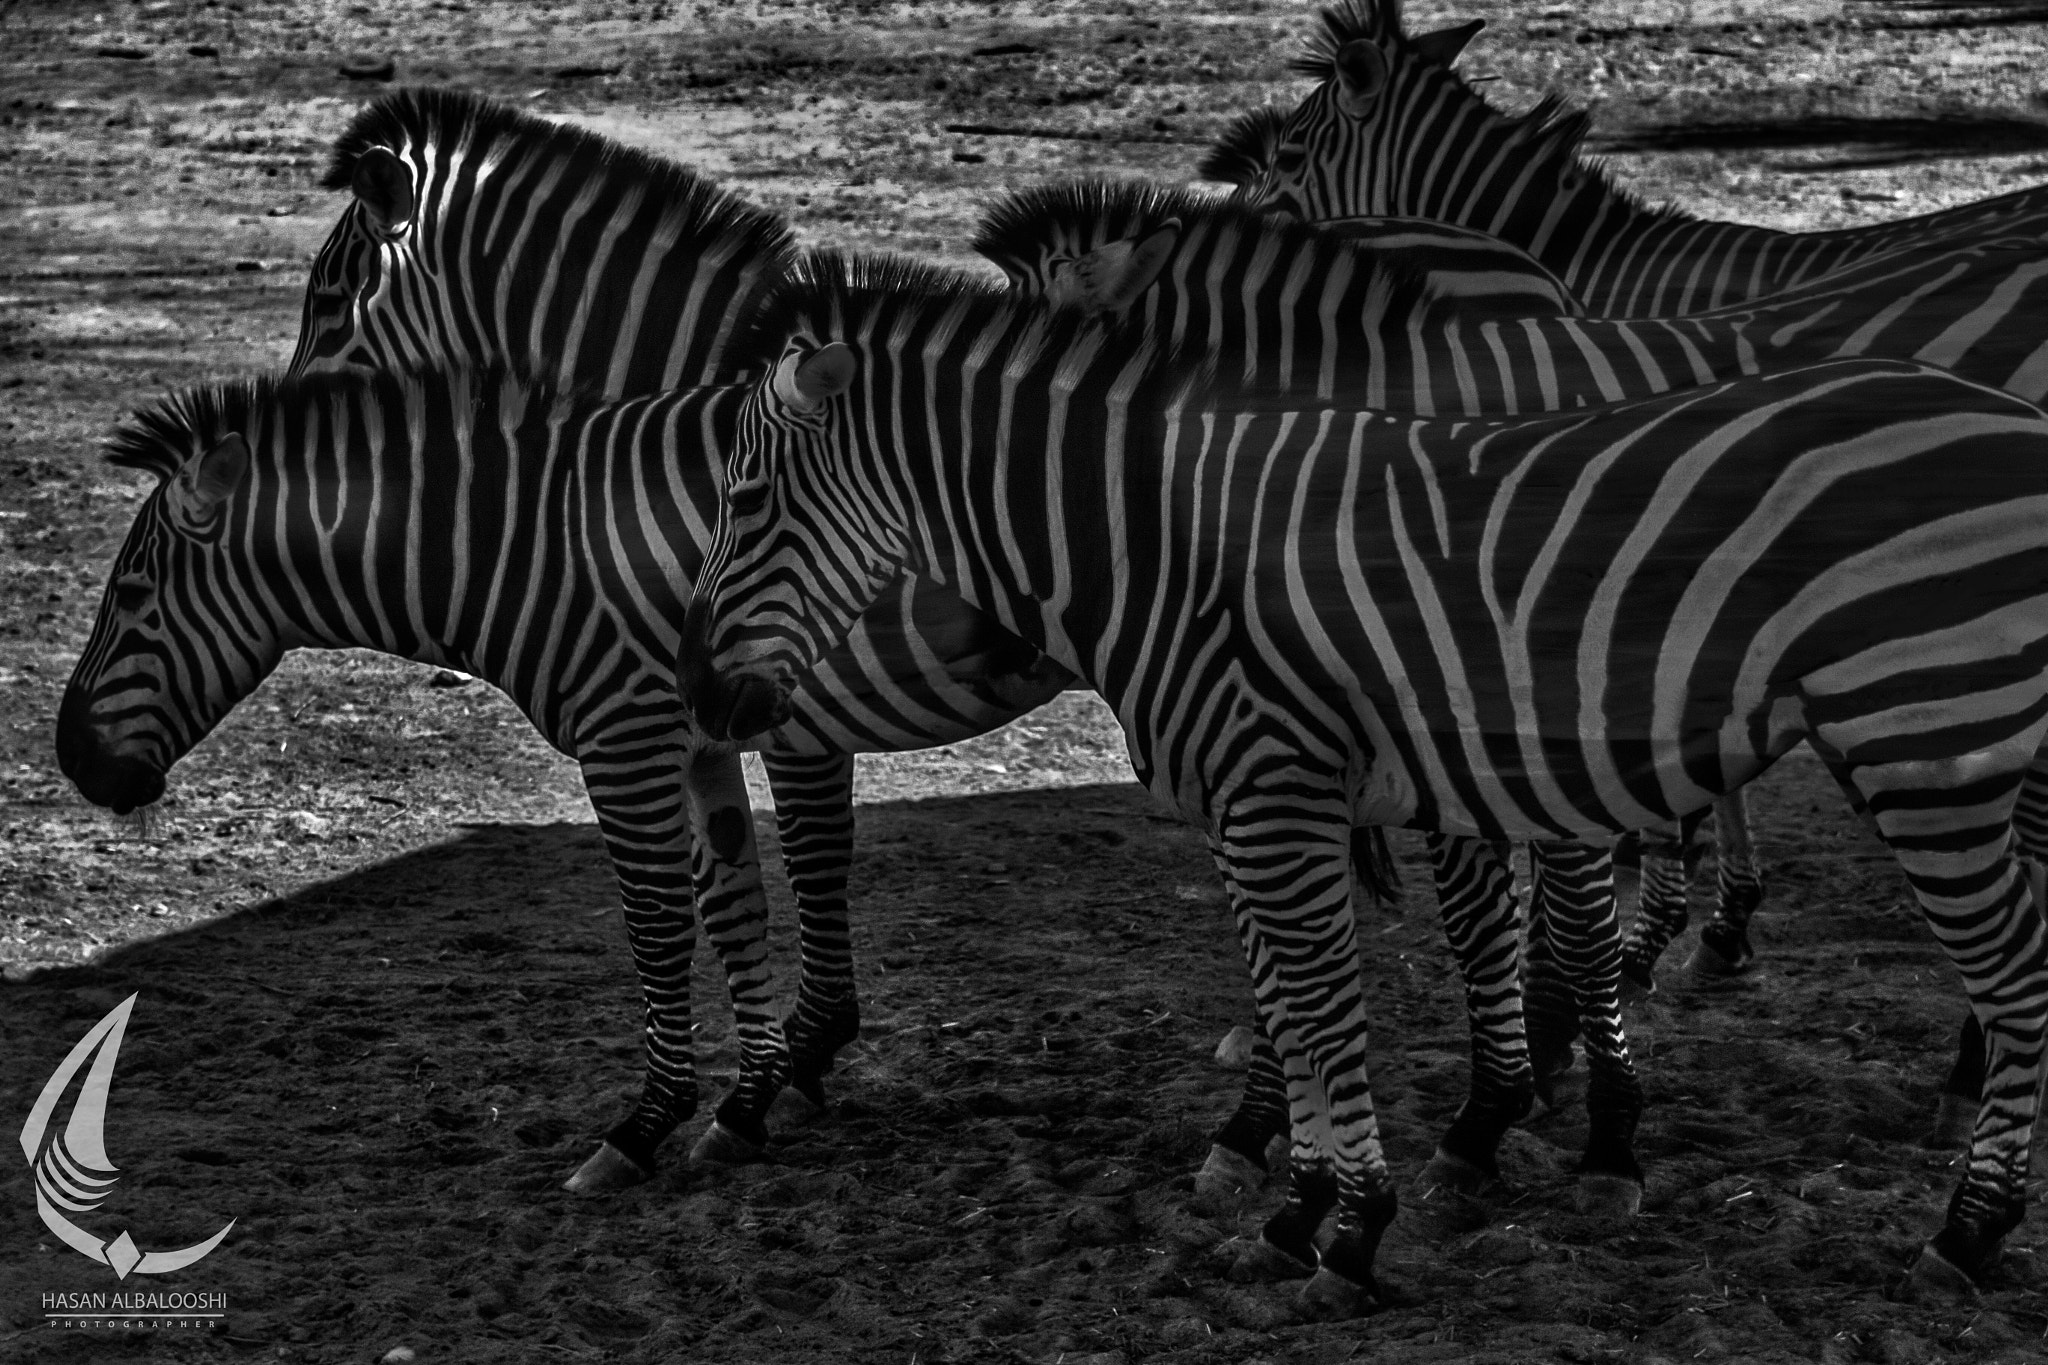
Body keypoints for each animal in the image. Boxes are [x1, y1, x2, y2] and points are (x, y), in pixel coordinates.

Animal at [279, 88, 1081, 1189]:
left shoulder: (785, 696)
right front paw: (775, 1071)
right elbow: (737, 883)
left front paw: (791, 1064)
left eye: (328, 302)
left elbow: (809, 859)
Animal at [678, 249, 2048, 1313]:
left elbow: (1323, 1008)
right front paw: (1298, 1210)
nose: (699, 696)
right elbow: (1292, 1009)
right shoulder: (1258, 803)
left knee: (2018, 979)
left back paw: (1968, 1234)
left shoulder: (1275, 791)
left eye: (740, 498)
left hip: (1926, 744)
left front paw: (1350, 1231)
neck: (1151, 546)